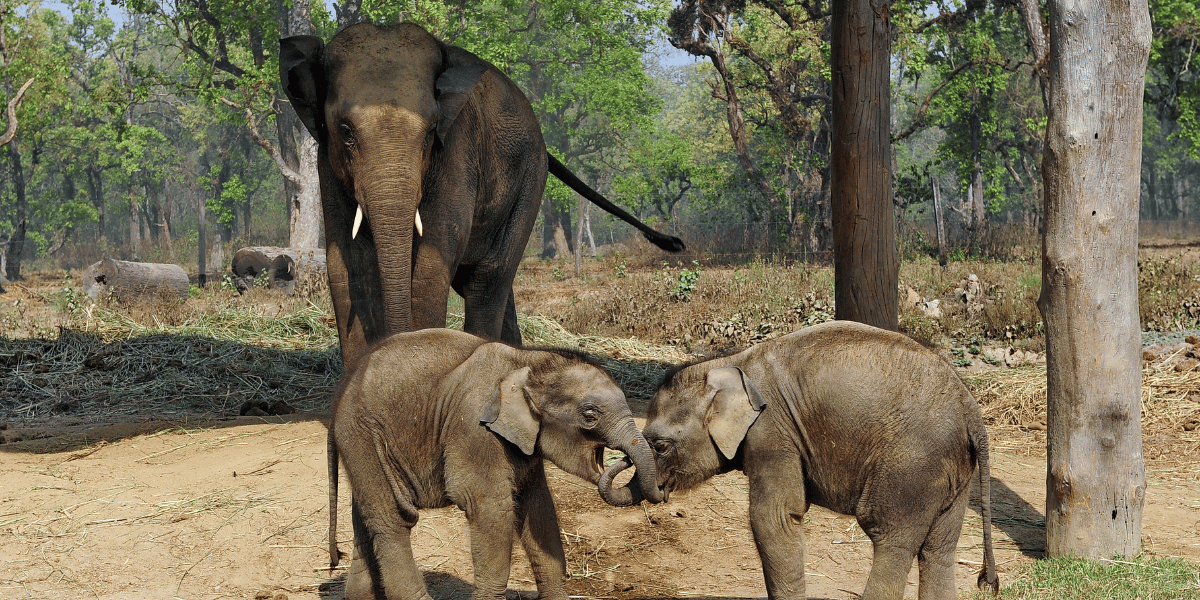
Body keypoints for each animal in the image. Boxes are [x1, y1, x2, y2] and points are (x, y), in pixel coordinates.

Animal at [274, 23, 681, 364]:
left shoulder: (457, 149)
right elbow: (348, 264)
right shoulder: (327, 165)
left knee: (489, 279)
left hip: (529, 179)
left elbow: (431, 264)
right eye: (344, 131)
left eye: (432, 131)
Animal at [333, 328, 662, 600]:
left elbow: (539, 508)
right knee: (394, 520)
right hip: (361, 435)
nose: (625, 459)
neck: (528, 361)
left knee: (367, 519)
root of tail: (347, 381)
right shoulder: (473, 430)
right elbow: (492, 508)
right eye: (590, 415)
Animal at [600, 321, 1003, 600]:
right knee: (939, 550)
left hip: (912, 464)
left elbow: (773, 518)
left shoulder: (772, 432)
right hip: (954, 471)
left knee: (890, 539)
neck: (731, 362)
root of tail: (970, 407)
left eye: (660, 445)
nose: (615, 457)